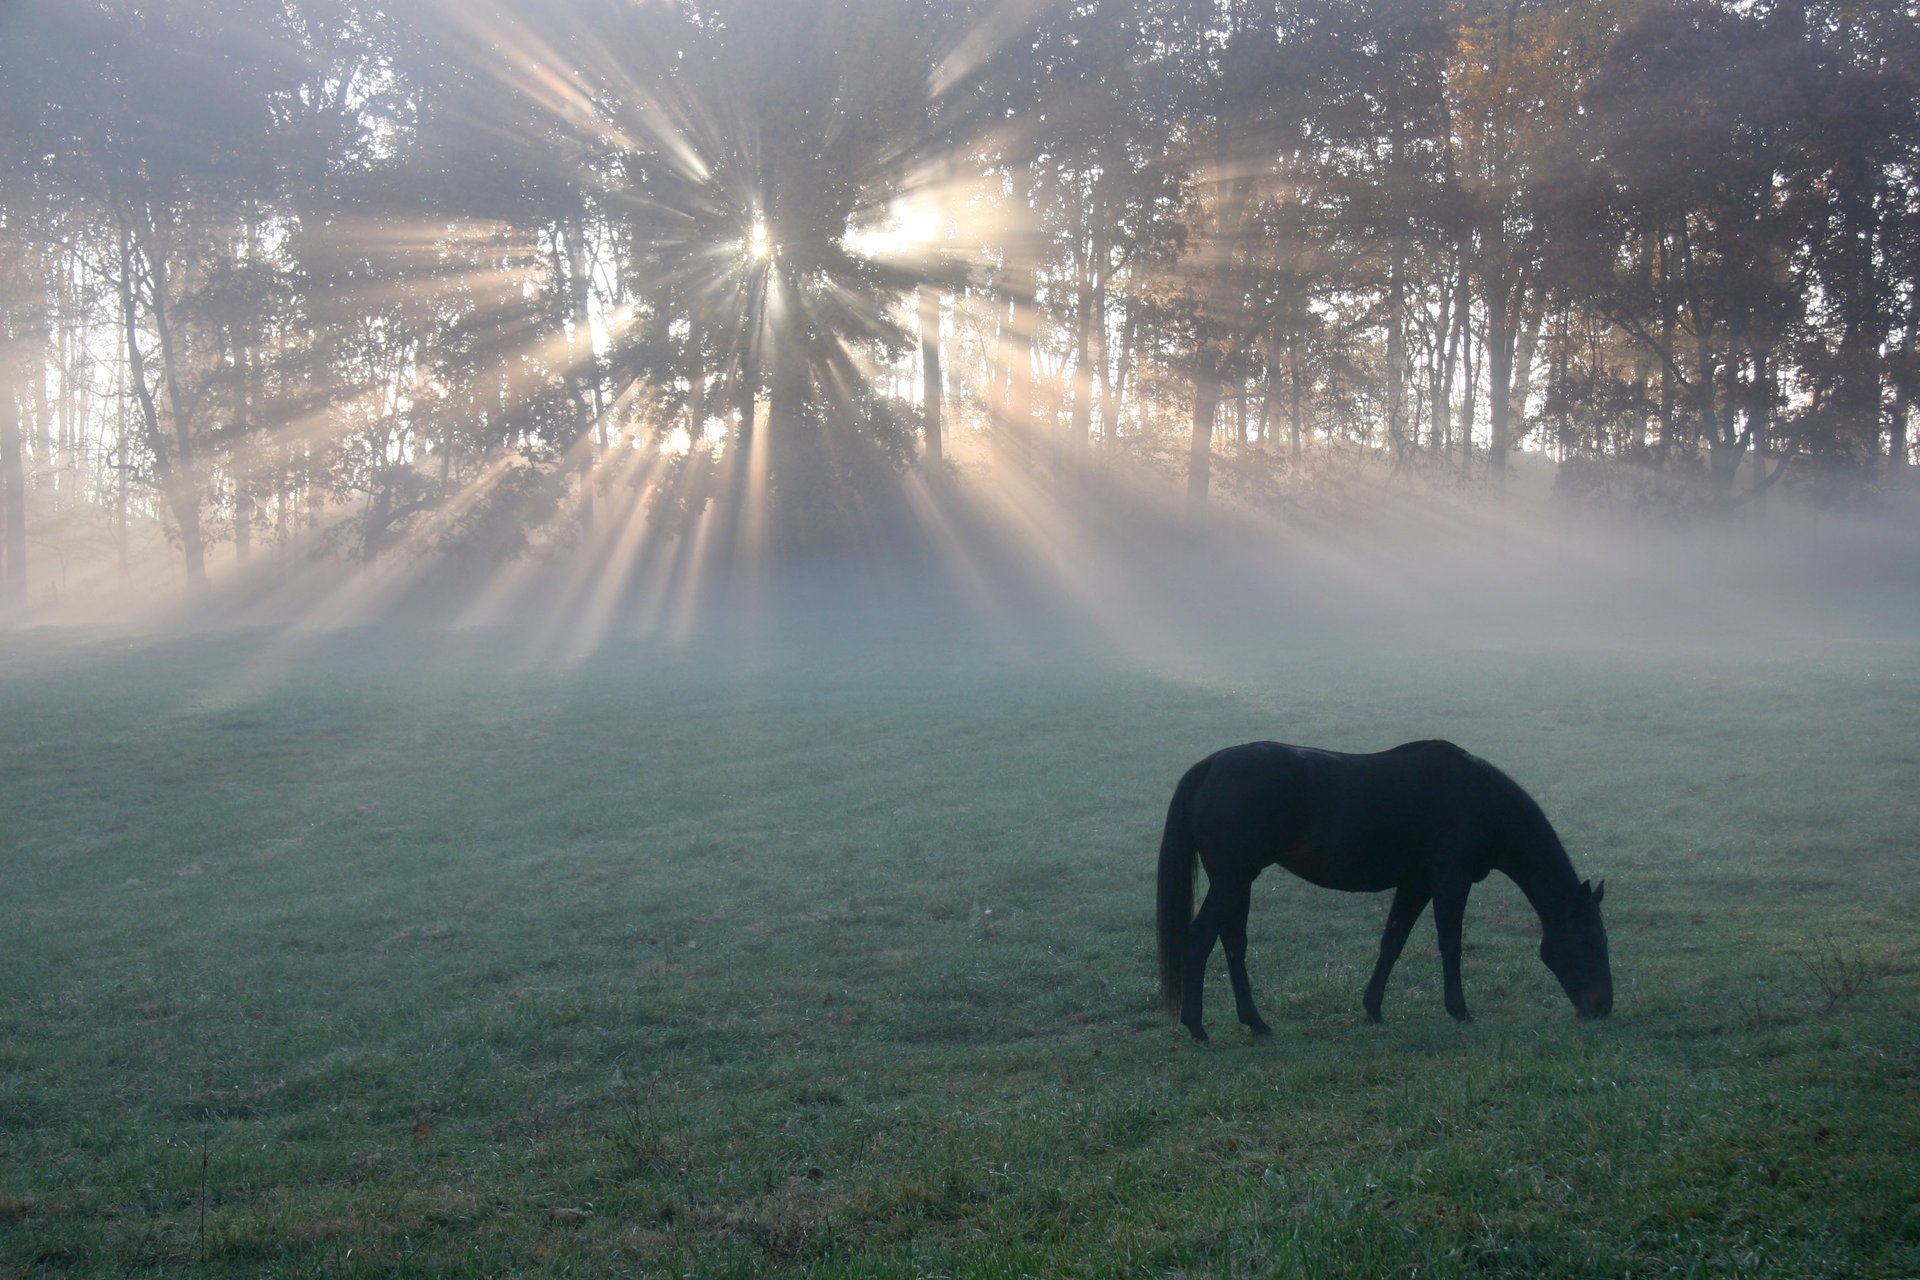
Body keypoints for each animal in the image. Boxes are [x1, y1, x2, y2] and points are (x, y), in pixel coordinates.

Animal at [1156, 740, 1611, 1044]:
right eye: (1589, 939)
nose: (1603, 1007)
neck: (1478, 799)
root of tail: (1210, 765)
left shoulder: (1415, 883)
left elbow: (1392, 941)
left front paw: (1373, 1008)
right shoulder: (1450, 880)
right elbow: (1450, 945)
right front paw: (1460, 1010)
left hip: (1237, 881)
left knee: (1233, 943)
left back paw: (1255, 1021)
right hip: (1232, 879)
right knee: (1200, 938)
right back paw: (1197, 1026)